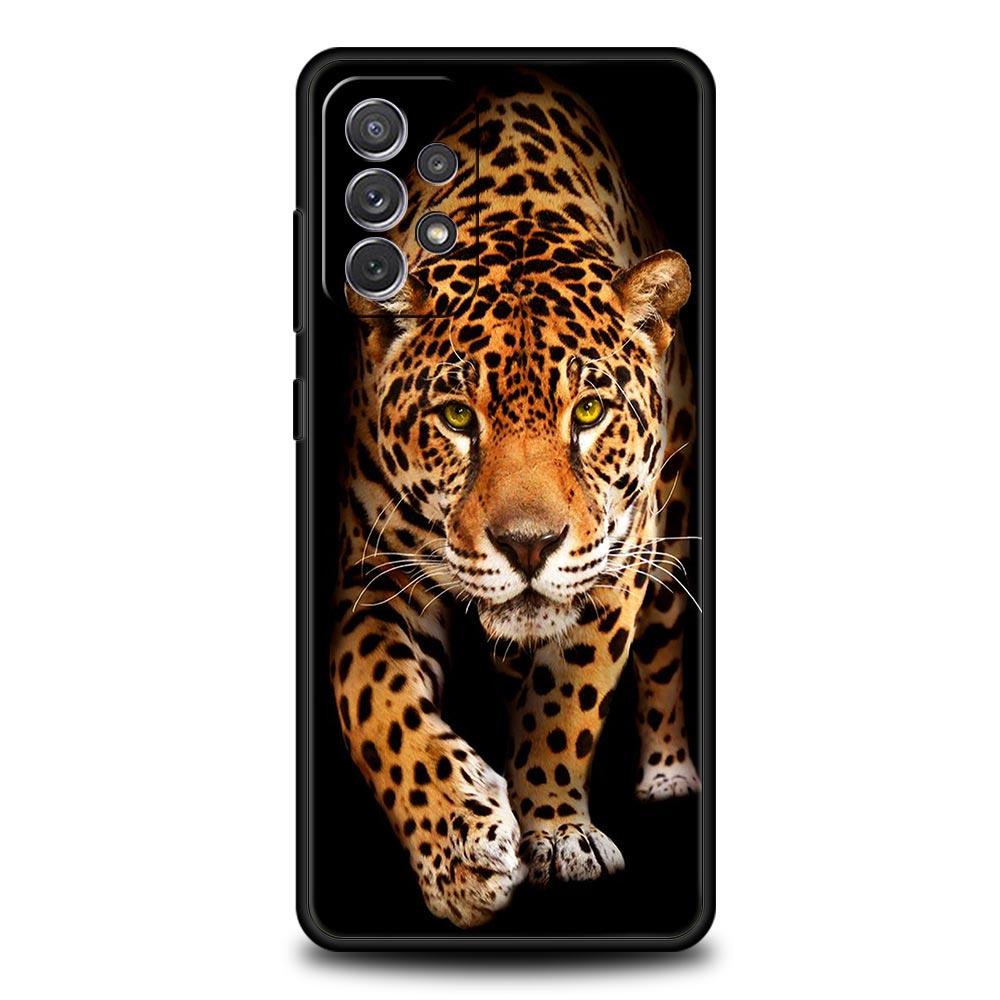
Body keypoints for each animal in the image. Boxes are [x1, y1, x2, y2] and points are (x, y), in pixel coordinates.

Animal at [330, 71, 701, 929]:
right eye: (459, 418)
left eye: (589, 412)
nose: (528, 545)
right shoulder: (374, 581)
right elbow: (375, 701)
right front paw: (461, 852)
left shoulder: (617, 564)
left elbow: (567, 701)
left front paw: (558, 832)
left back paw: (669, 773)